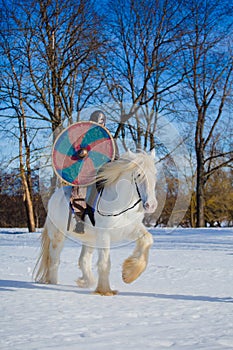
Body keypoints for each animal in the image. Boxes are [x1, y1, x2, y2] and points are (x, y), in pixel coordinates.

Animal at [34, 150, 157, 296]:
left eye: (155, 174)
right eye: (138, 174)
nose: (151, 205)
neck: (120, 203)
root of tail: (54, 197)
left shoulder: (130, 229)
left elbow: (147, 239)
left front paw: (129, 274)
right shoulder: (104, 235)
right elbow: (105, 263)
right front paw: (105, 291)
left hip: (89, 239)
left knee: (83, 260)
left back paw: (87, 282)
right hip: (58, 236)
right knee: (54, 259)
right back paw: (54, 283)